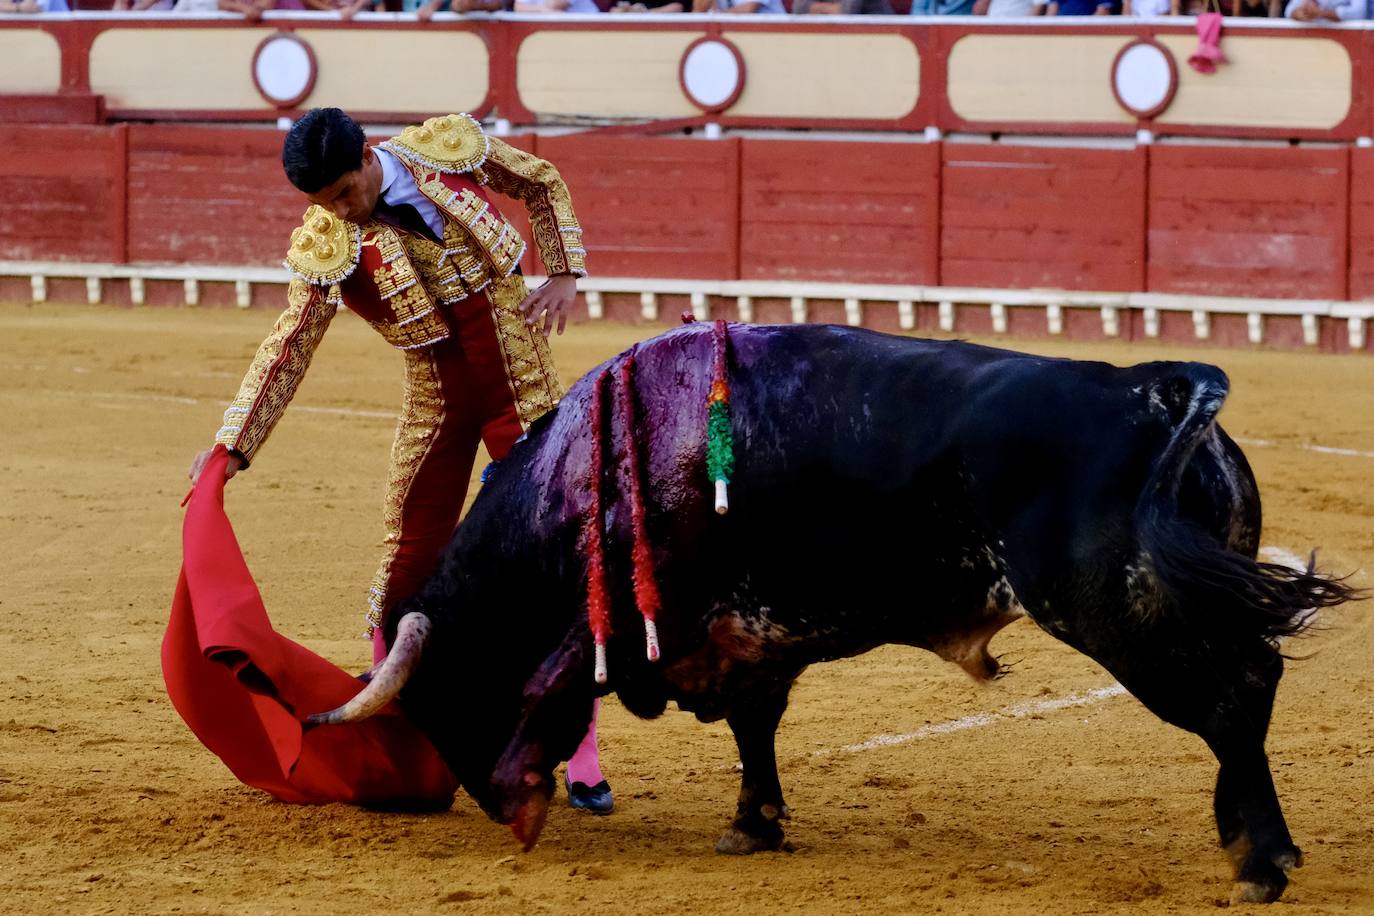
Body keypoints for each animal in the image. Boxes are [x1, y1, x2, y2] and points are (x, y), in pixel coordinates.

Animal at [309, 322, 1352, 900]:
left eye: (441, 699)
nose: (487, 803)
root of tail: (1159, 392)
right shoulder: (749, 637)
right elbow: (755, 727)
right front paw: (754, 824)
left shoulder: (646, 614)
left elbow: (557, 678)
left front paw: (527, 796)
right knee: (1251, 686)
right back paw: (1253, 840)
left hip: (1117, 615)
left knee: (1232, 697)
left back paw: (1258, 862)